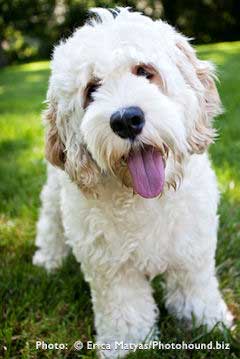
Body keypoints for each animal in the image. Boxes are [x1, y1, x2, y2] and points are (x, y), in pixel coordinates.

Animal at [32, 7, 233, 358]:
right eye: (91, 89)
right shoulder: (112, 269)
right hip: (55, 193)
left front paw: (209, 323)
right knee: (50, 222)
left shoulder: (191, 251)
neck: (145, 197)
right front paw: (131, 346)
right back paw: (48, 260)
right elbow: (126, 311)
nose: (126, 119)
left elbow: (195, 290)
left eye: (144, 71)